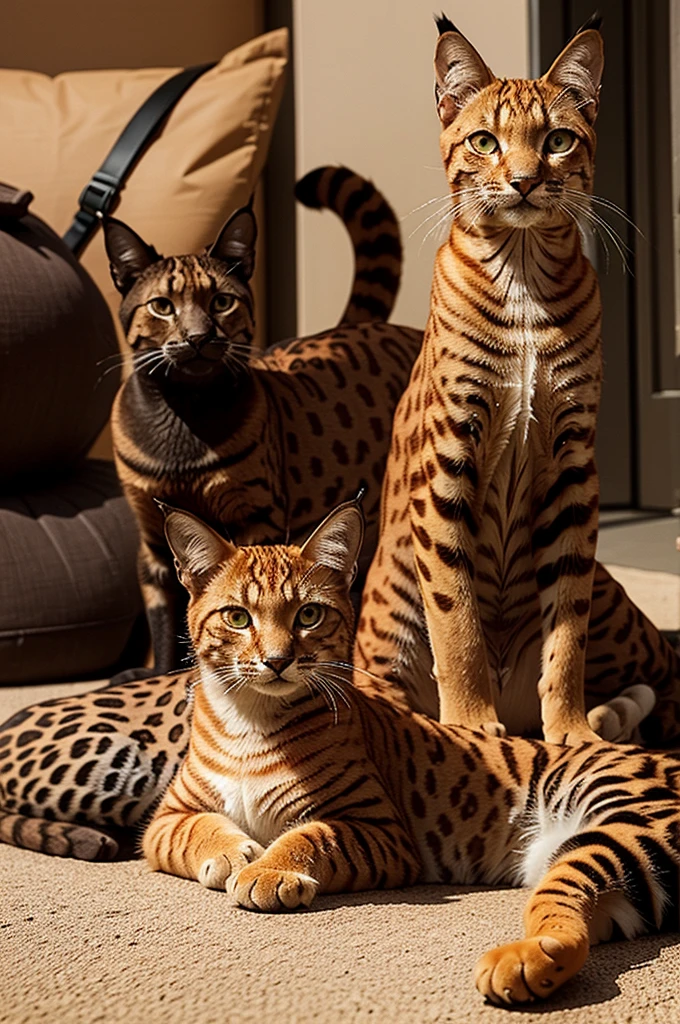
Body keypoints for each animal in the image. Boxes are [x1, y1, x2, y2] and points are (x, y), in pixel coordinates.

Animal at [352, 14, 675, 745]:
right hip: (381, 634)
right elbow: (456, 615)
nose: (525, 182)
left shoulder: (574, 462)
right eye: (484, 140)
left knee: (663, 669)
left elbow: (567, 628)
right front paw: (472, 724)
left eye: (557, 140)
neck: (522, 272)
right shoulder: (451, 451)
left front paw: (573, 730)